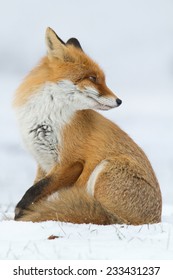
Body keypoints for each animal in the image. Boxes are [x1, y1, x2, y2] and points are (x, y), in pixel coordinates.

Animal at [13, 27, 161, 225]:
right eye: (93, 78)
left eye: (103, 79)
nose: (119, 101)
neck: (48, 116)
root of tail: (155, 219)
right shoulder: (43, 162)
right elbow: (37, 189)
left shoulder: (72, 162)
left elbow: (34, 191)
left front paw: (20, 214)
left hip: (107, 167)